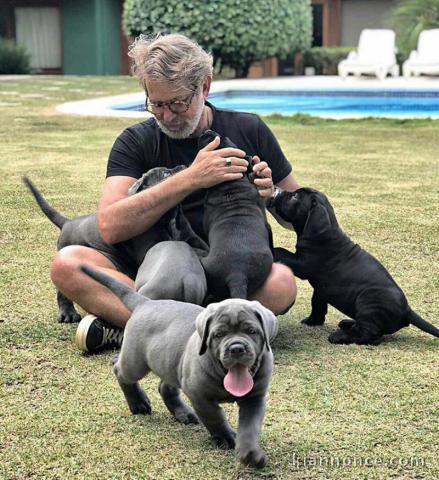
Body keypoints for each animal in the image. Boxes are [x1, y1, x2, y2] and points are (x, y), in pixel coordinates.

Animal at [24, 168, 208, 322]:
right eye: (165, 173)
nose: (184, 165)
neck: (170, 216)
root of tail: (67, 223)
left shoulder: (193, 239)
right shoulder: (150, 247)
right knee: (61, 291)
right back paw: (67, 313)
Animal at [79, 262, 278, 468]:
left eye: (252, 331)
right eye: (218, 335)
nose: (237, 348)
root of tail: (145, 303)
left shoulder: (255, 398)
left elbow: (250, 426)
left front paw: (250, 454)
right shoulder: (199, 395)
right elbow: (214, 416)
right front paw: (225, 437)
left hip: (172, 362)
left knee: (165, 387)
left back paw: (182, 413)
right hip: (135, 363)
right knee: (121, 371)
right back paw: (138, 403)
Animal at [272, 188, 439, 344]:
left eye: (295, 197)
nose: (278, 190)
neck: (326, 232)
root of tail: (407, 310)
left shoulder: (302, 264)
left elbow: (281, 251)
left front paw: (272, 250)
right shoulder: (321, 287)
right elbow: (317, 303)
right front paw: (313, 321)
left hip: (368, 304)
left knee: (370, 335)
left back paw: (340, 336)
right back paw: (348, 323)